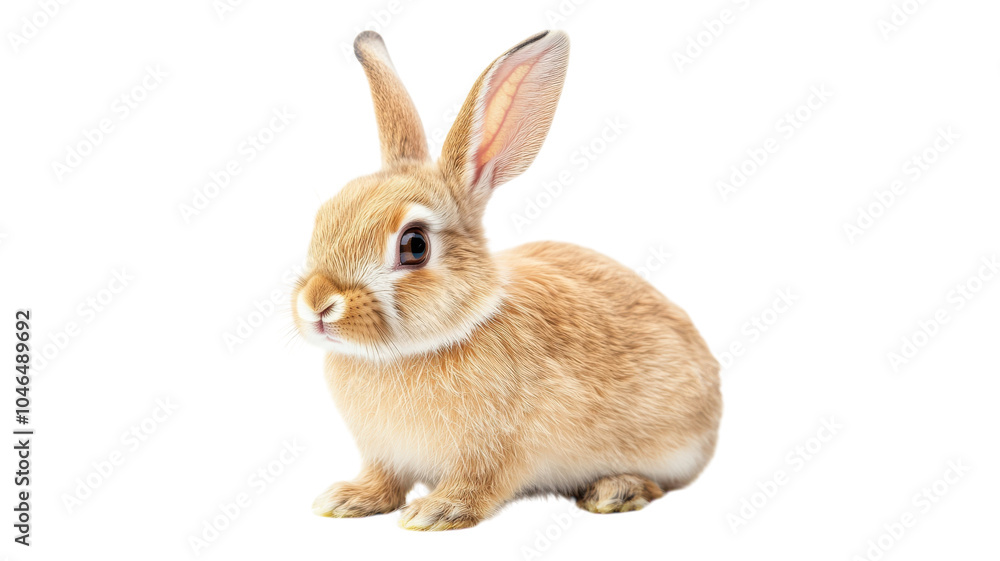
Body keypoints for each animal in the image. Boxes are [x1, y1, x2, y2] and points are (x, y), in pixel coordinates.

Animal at [294, 29, 721, 531]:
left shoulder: (500, 451)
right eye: (324, 217)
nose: (317, 303)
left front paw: (436, 511)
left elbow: (480, 484)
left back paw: (616, 490)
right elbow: (383, 480)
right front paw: (347, 500)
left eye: (414, 245)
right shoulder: (383, 455)